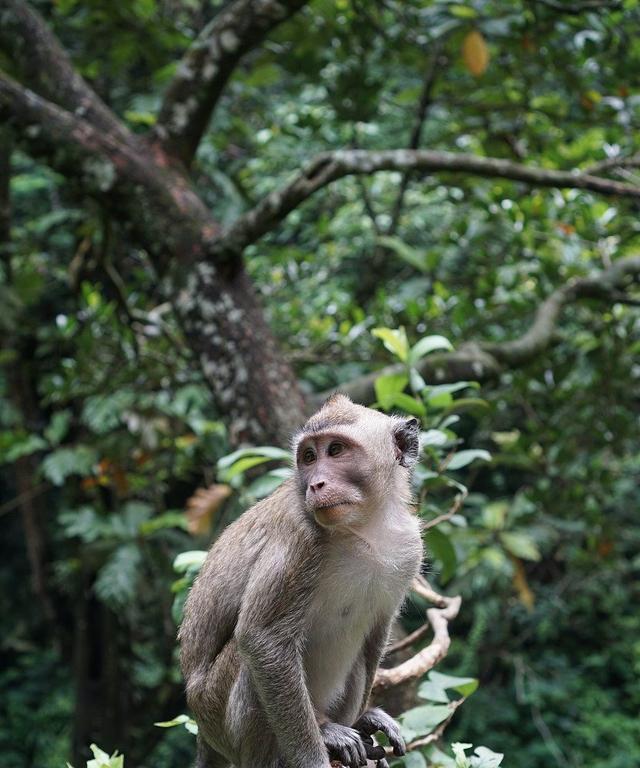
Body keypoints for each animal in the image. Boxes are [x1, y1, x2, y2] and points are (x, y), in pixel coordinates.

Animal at [179, 392, 424, 764]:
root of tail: (203, 732)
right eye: (309, 457)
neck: (361, 528)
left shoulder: (410, 549)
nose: (316, 483)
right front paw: (315, 759)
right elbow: (263, 639)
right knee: (250, 660)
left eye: (335, 450)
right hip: (219, 716)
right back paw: (321, 735)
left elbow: (376, 634)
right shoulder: (298, 536)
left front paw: (363, 719)